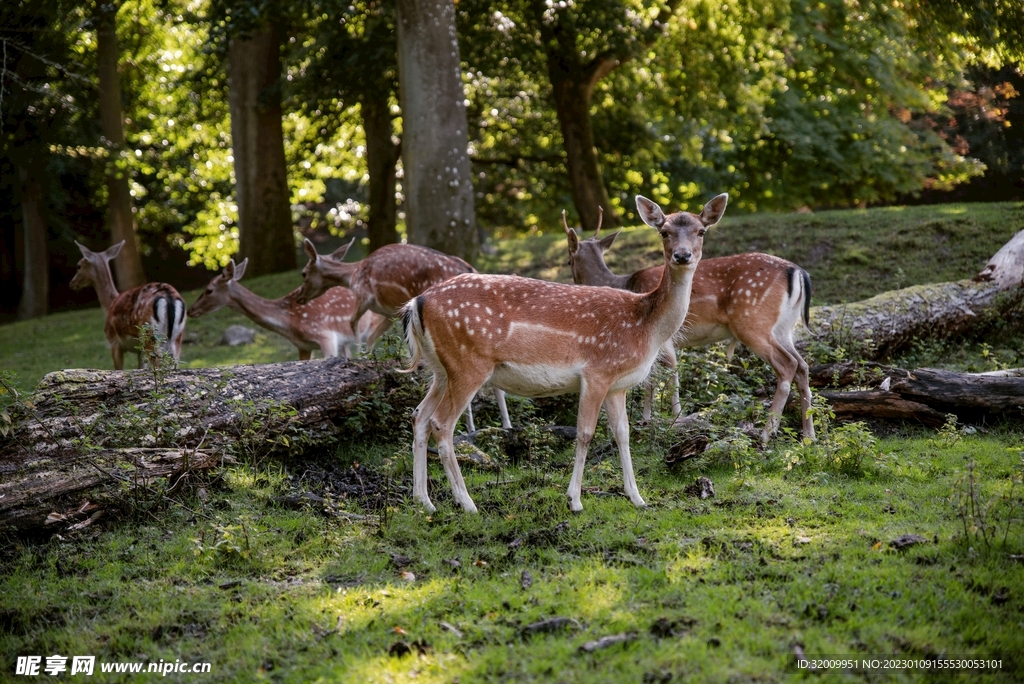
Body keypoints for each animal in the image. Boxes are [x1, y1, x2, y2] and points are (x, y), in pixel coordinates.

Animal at [69, 240, 187, 370]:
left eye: (79, 266)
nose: (72, 283)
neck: (110, 304)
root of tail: (168, 296)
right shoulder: (139, 351)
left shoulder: (114, 342)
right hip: (177, 337)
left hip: (150, 333)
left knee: (159, 362)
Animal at [295, 238, 510, 431]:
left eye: (303, 273)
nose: (298, 297)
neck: (352, 275)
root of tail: (472, 269)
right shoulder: (389, 312)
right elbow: (372, 337)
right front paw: (370, 359)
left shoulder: (364, 296)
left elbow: (354, 326)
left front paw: (355, 357)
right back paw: (503, 425)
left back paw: (477, 427)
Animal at [402, 193, 728, 514]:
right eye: (664, 231)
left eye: (701, 231)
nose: (682, 256)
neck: (644, 326)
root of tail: (416, 302)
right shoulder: (597, 371)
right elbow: (585, 433)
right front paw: (575, 500)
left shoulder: (617, 385)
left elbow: (623, 433)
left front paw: (637, 498)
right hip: (468, 363)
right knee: (441, 423)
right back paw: (467, 504)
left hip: (441, 369)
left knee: (419, 415)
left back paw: (424, 502)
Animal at [564, 209, 814, 442]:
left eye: (568, 260)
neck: (624, 284)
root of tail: (799, 272)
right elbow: (655, 377)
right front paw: (652, 417)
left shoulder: (661, 338)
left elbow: (666, 374)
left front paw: (667, 418)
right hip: (784, 328)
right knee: (802, 365)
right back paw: (809, 435)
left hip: (752, 321)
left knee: (788, 364)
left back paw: (766, 433)